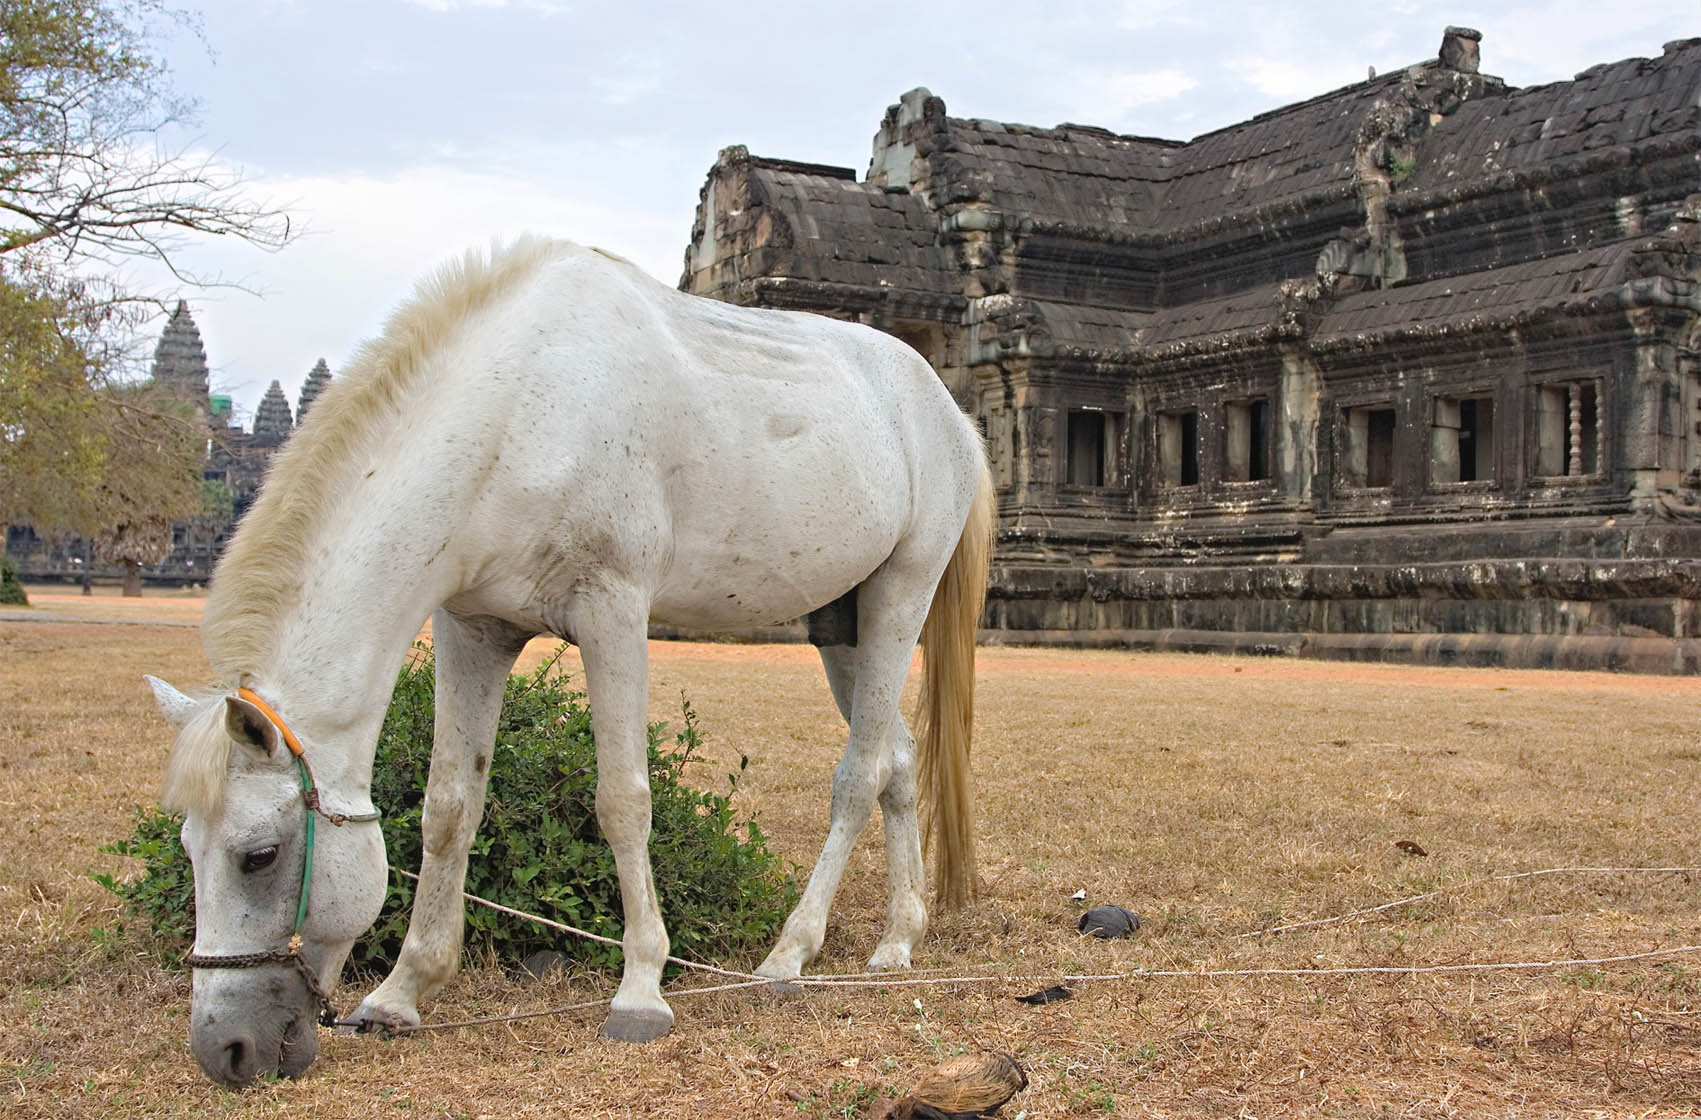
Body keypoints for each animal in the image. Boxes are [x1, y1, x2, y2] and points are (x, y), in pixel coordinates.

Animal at [149, 240, 993, 1089]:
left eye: (259, 857)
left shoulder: (613, 612)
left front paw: (641, 989)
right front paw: (401, 992)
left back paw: (789, 953)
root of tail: (949, 412)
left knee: (858, 774)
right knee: (896, 761)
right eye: (187, 847)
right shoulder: (471, 627)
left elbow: (622, 801)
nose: (226, 1049)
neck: (514, 415)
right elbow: (448, 808)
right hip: (840, 624)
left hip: (900, 591)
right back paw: (898, 937)